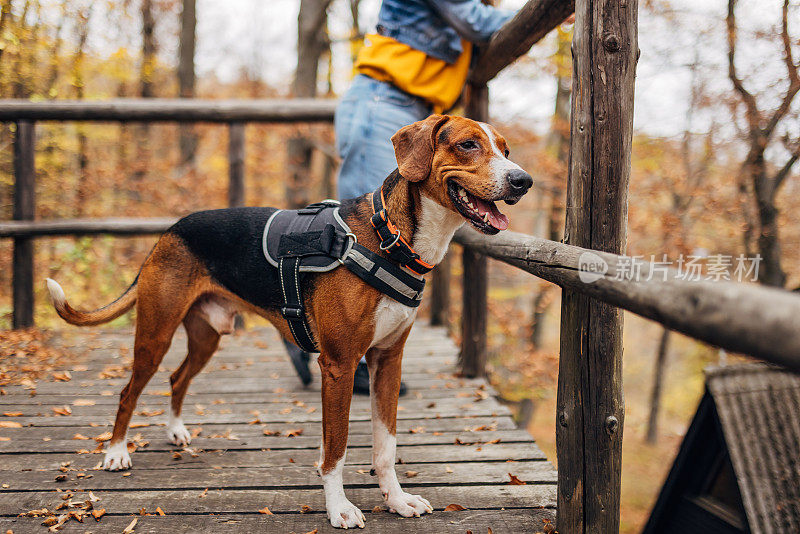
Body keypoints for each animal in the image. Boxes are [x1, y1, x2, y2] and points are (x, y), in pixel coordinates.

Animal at [43, 115, 532, 528]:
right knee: (129, 390)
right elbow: (335, 450)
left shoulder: (387, 362)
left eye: (506, 149)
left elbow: (386, 448)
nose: (522, 181)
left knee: (178, 378)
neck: (390, 238)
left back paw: (176, 430)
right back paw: (116, 453)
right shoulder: (339, 365)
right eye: (468, 144)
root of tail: (170, 229)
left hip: (207, 336)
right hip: (155, 332)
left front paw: (396, 500)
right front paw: (339, 509)